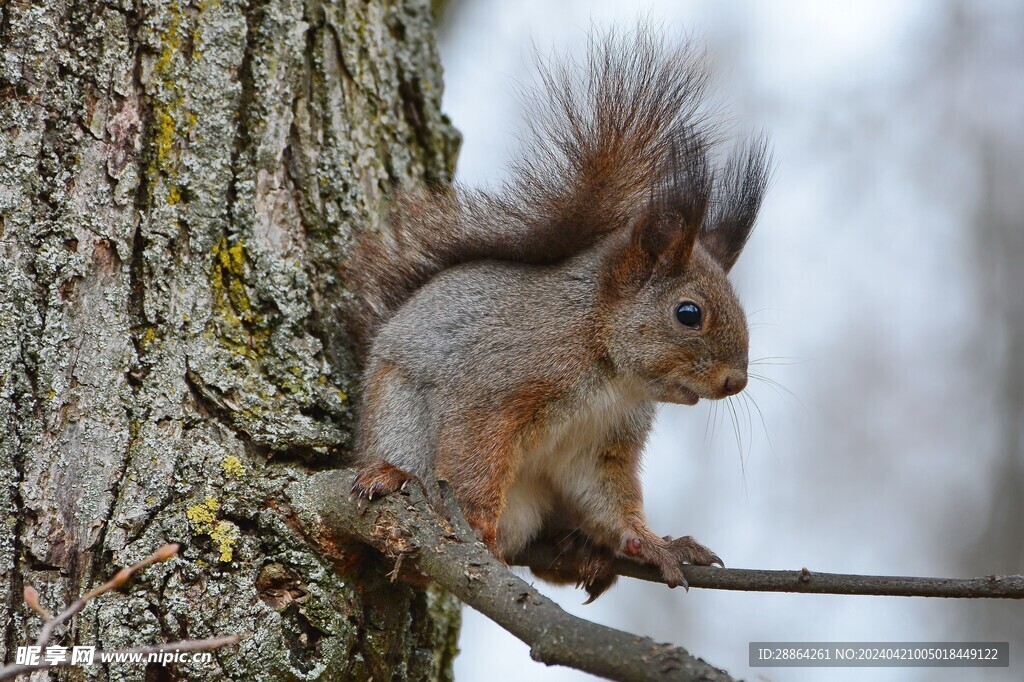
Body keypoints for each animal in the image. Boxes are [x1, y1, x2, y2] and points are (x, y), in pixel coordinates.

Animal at [344, 29, 770, 598]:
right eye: (688, 313)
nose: (735, 382)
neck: (607, 365)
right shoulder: (499, 384)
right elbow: (473, 457)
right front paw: (476, 525)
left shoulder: (603, 443)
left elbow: (607, 496)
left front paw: (653, 542)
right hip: (400, 418)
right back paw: (393, 479)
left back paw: (578, 553)